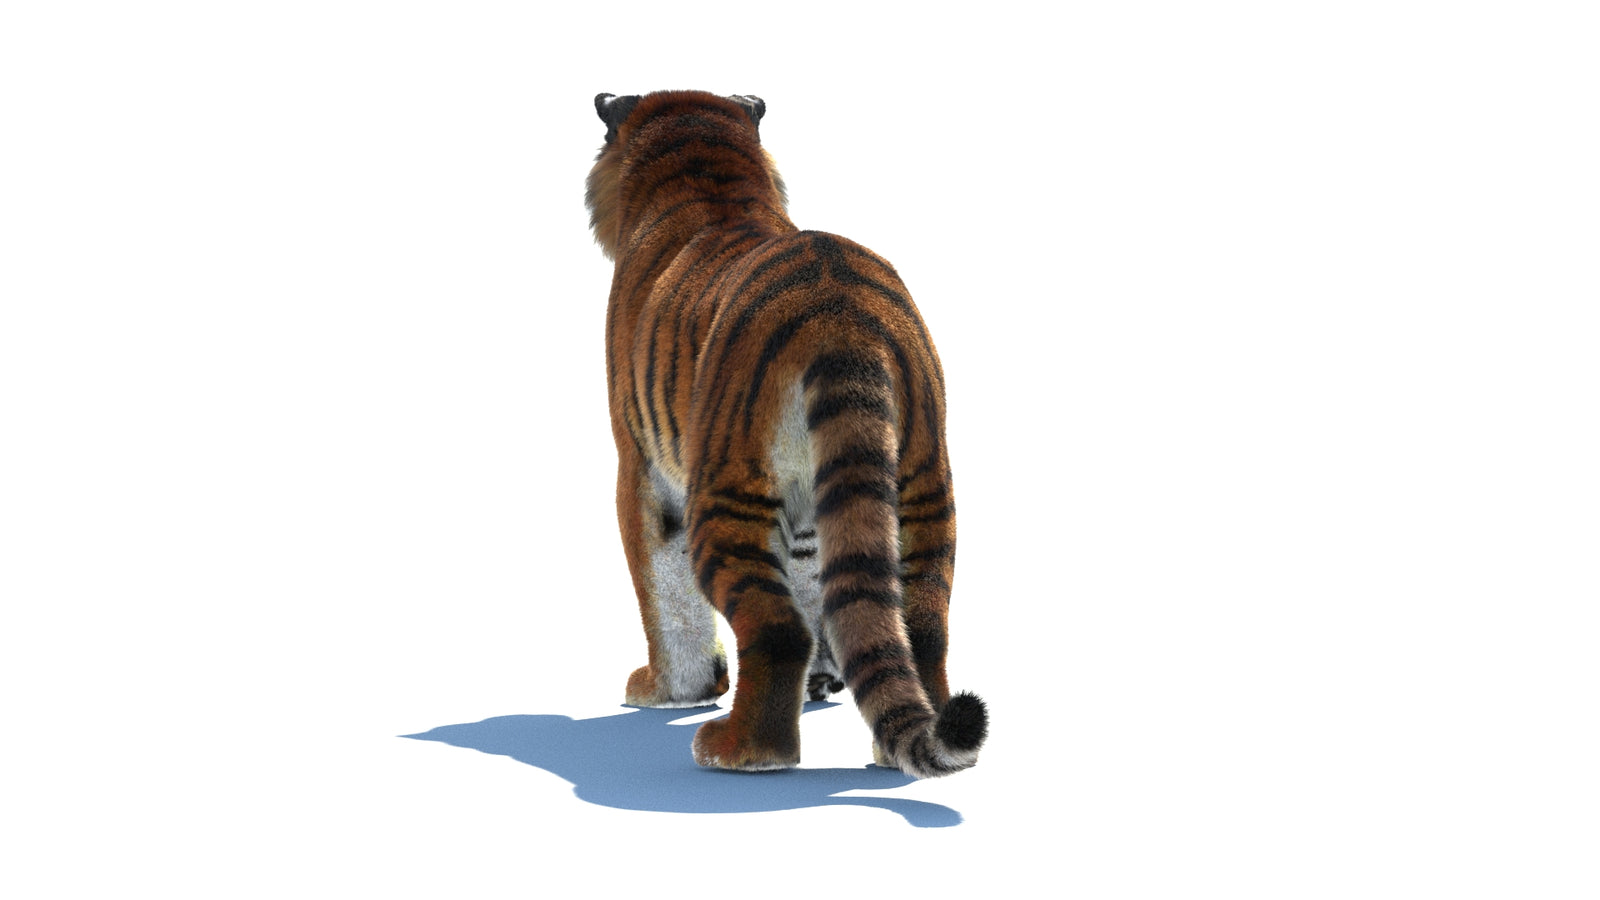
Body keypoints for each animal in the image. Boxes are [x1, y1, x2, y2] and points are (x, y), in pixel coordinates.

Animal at [585, 90, 986, 778]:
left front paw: (669, 690)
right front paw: (823, 682)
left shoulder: (641, 468)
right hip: (923, 485)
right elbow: (819, 585)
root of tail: (845, 315)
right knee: (922, 625)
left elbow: (665, 594)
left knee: (777, 628)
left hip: (724, 494)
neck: (710, 177)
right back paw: (900, 748)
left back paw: (738, 750)